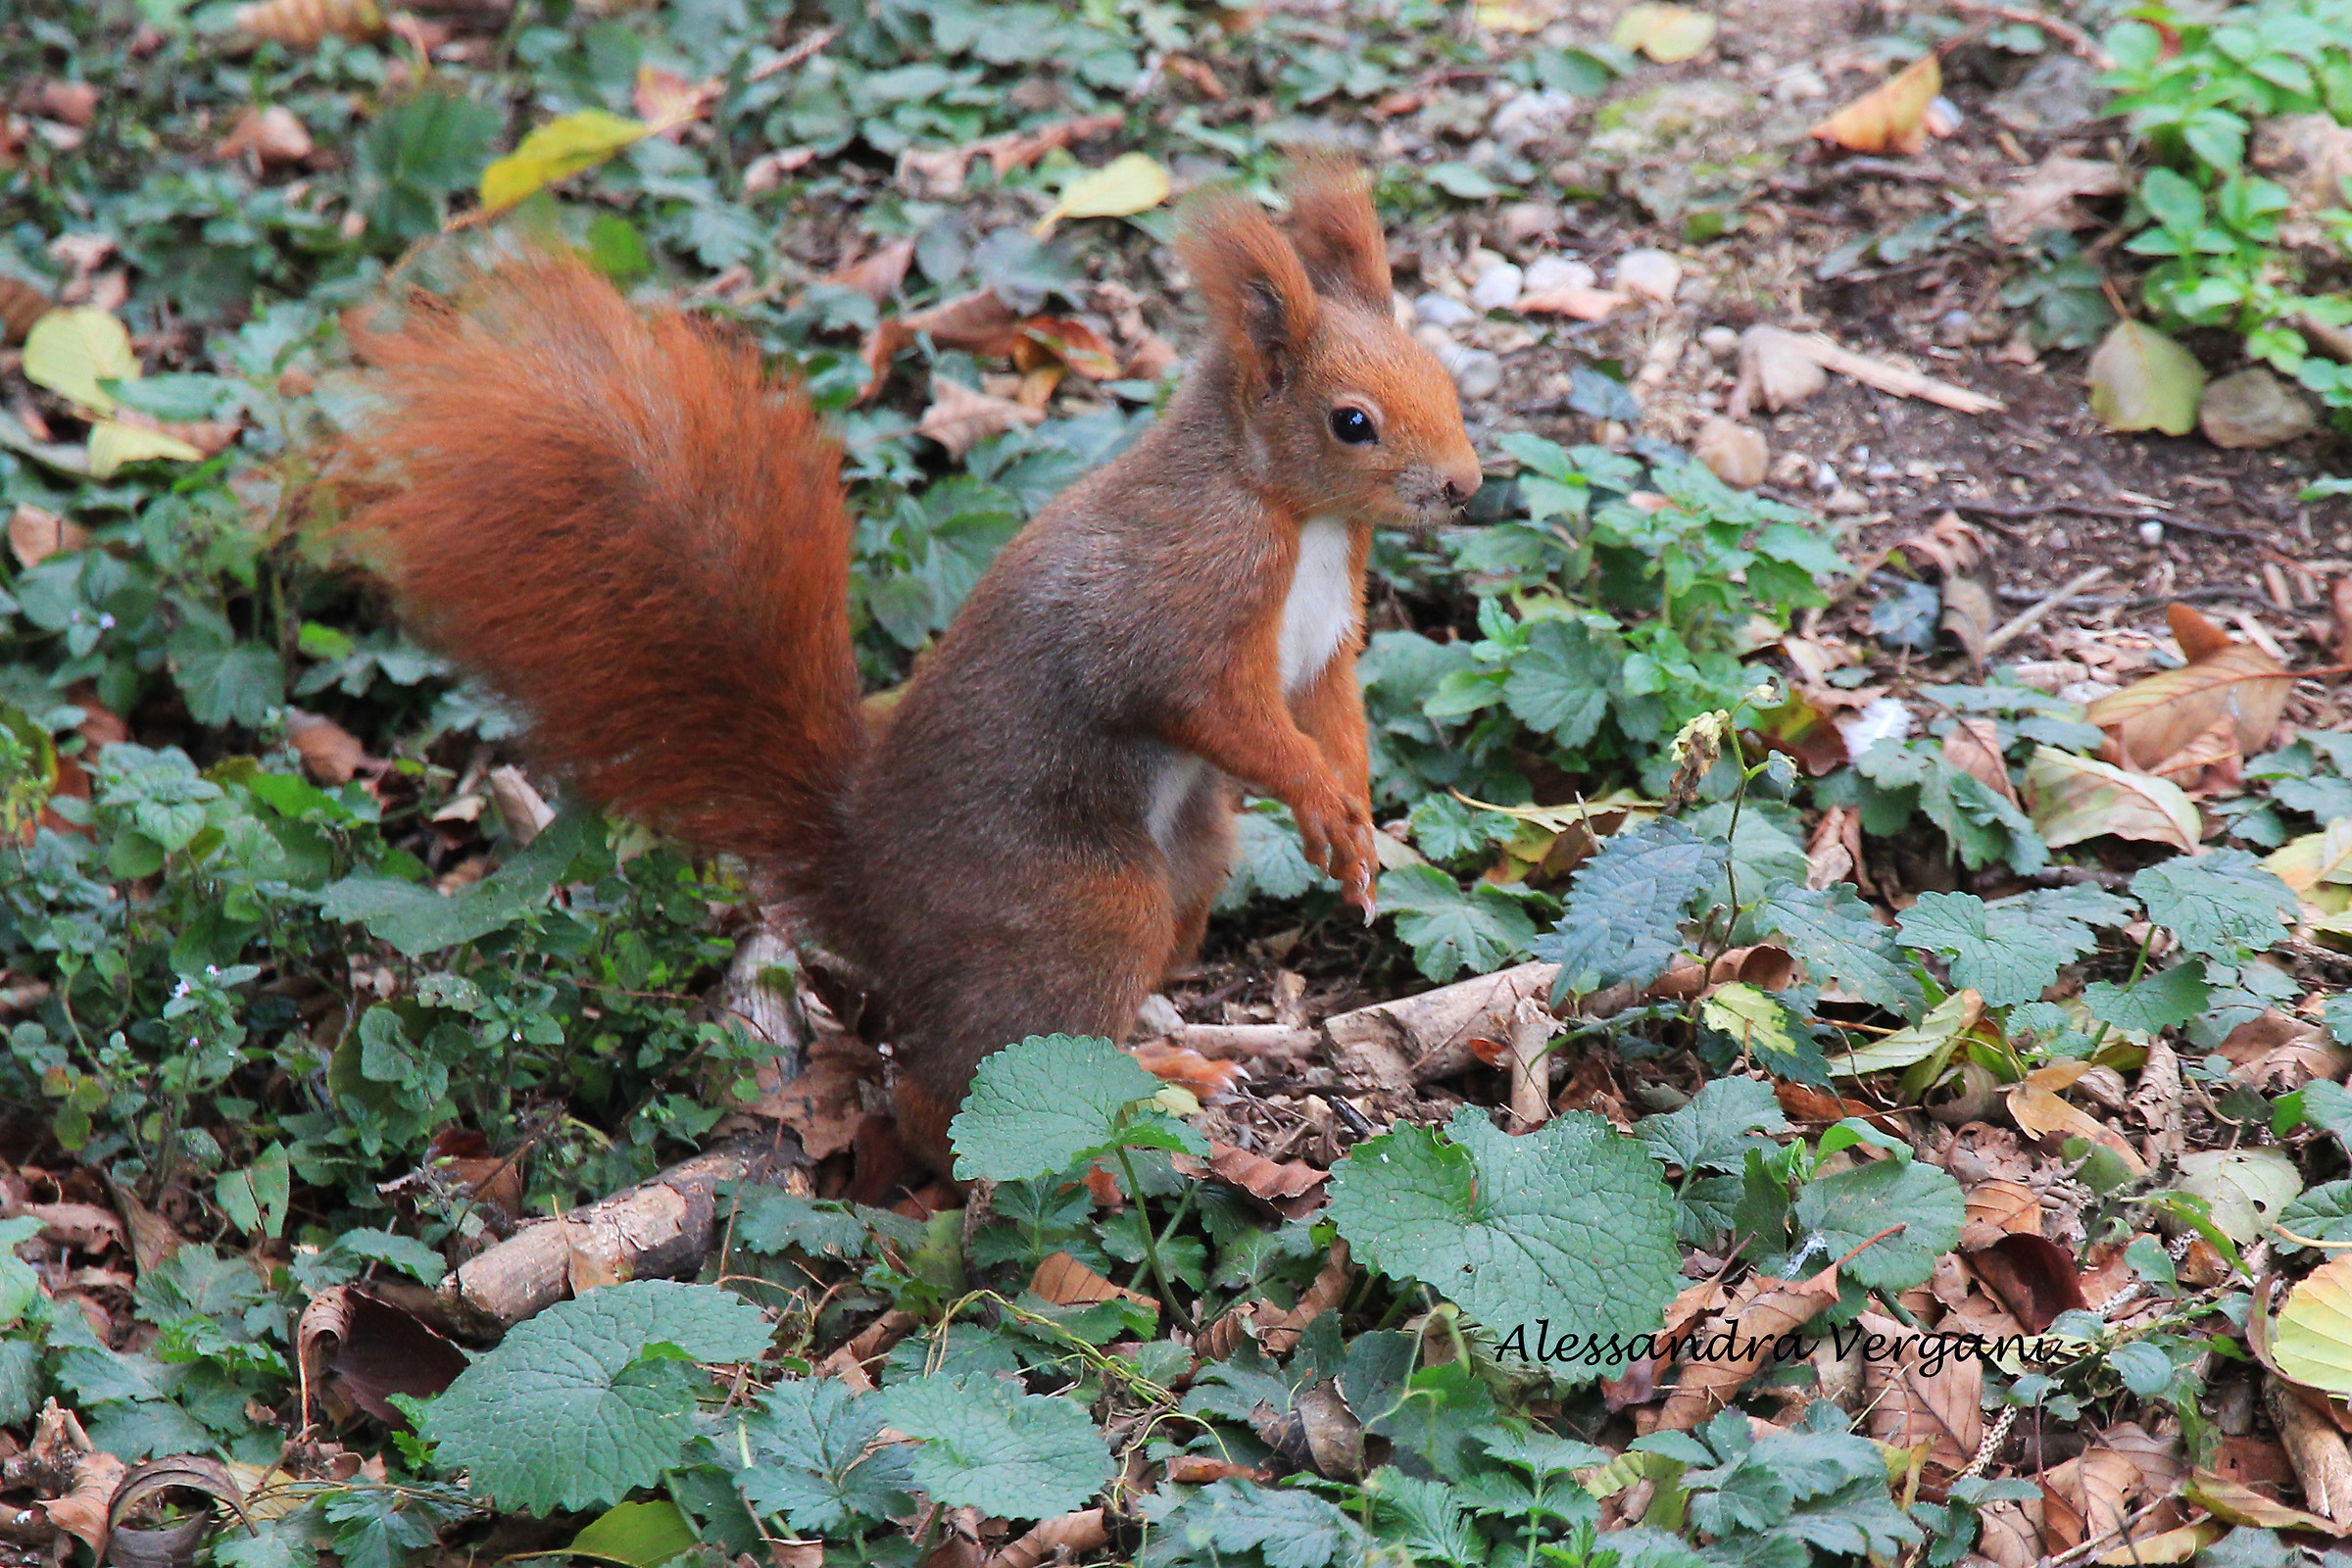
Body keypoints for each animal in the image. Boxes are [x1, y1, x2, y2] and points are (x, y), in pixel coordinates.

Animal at [341, 160, 1477, 1170]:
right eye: (1353, 422)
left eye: (1445, 378)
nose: (1465, 486)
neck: (1291, 510)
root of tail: (870, 886)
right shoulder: (1182, 606)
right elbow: (1217, 712)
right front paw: (1321, 802)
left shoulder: (1323, 643)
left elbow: (1333, 713)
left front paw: (1358, 823)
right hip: (1083, 908)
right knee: (954, 1097)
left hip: (1191, 869)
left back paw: (1160, 1071)